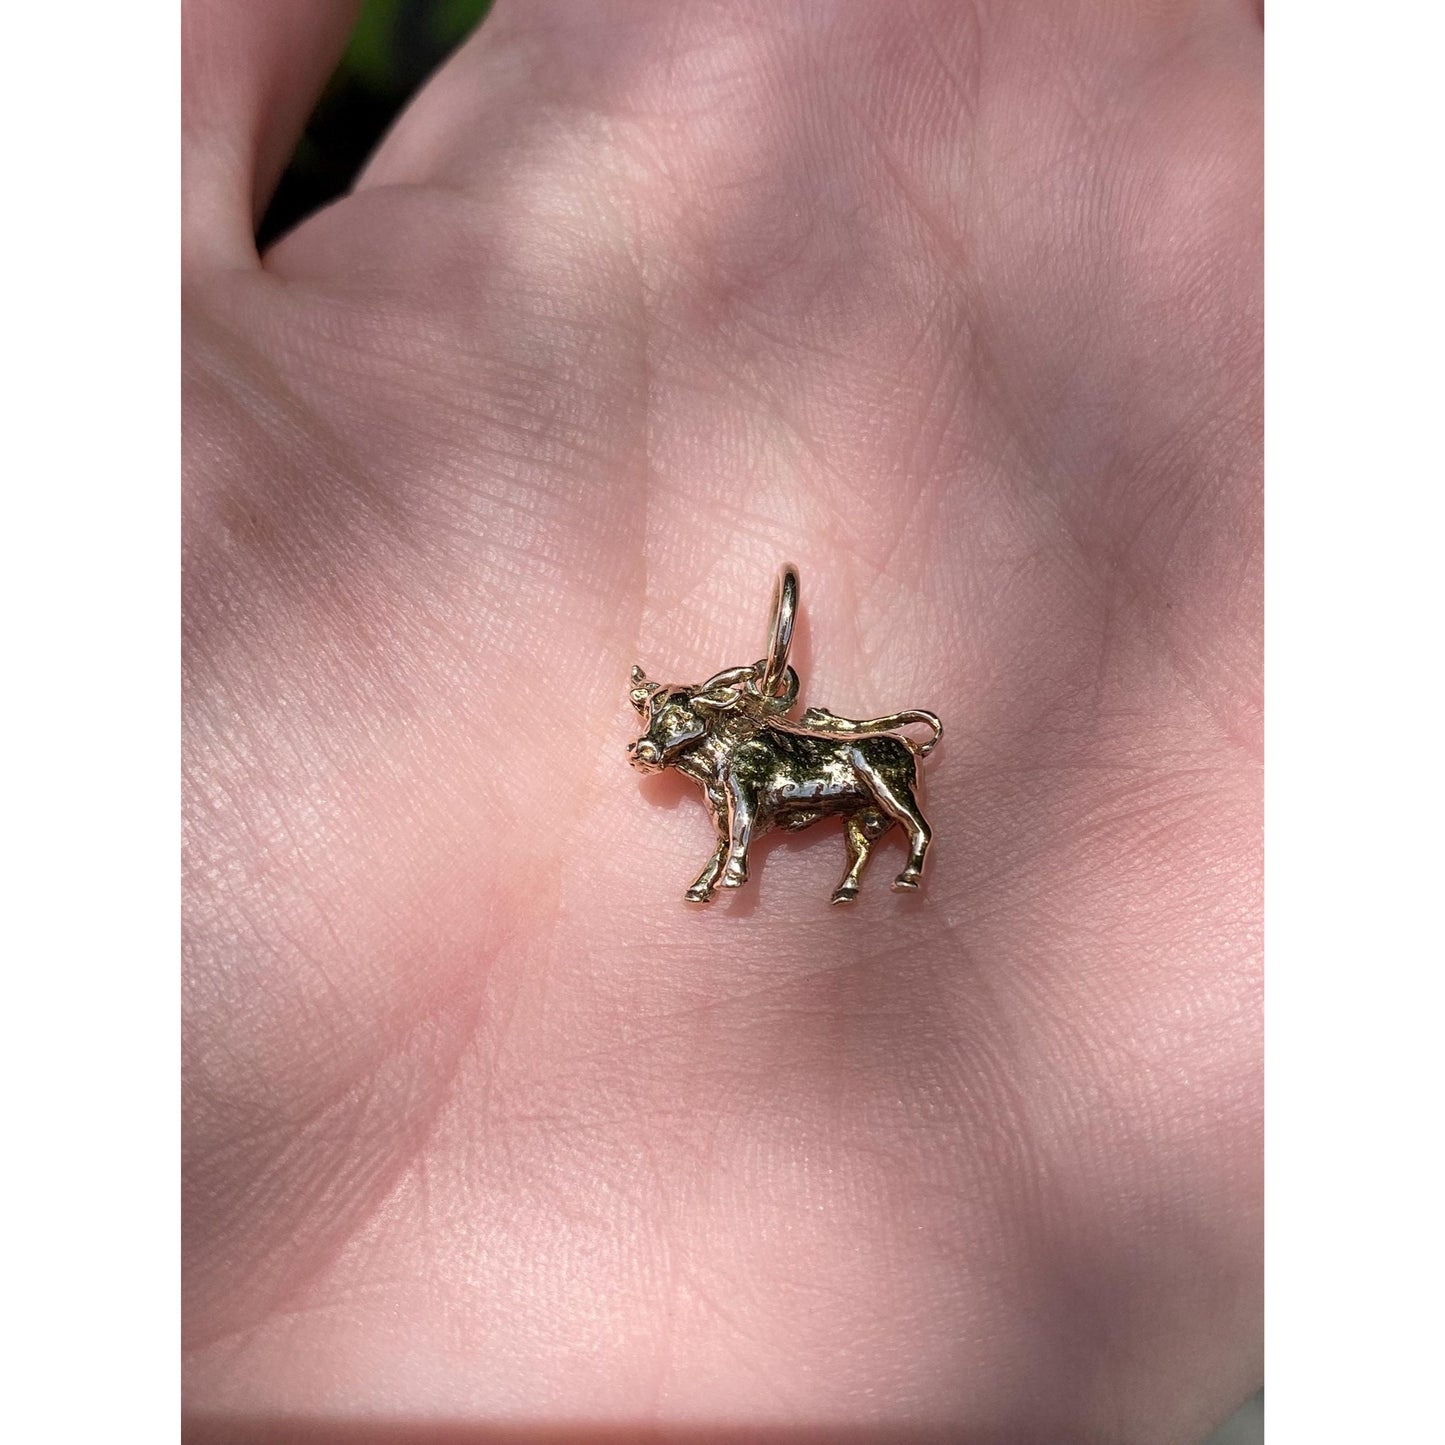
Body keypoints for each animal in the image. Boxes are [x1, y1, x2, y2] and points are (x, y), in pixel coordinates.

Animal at [627, 663, 941, 905]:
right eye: (650, 712)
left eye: (680, 715)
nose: (641, 751)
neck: (725, 750)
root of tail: (910, 745)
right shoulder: (720, 806)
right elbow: (721, 847)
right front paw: (699, 889)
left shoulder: (744, 794)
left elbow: (739, 833)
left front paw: (732, 878)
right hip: (863, 816)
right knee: (861, 851)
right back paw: (843, 893)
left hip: (893, 794)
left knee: (920, 829)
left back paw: (907, 878)